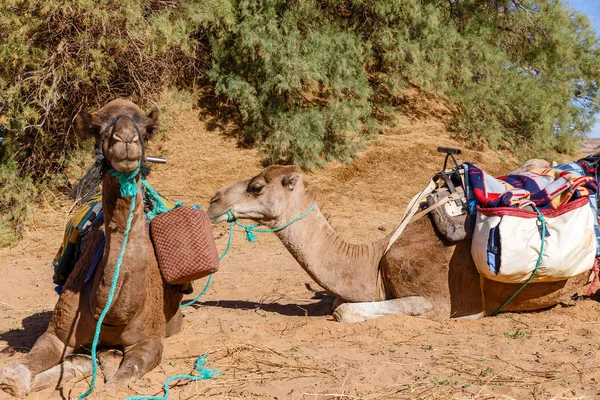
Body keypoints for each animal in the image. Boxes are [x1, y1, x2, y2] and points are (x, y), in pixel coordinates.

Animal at [0, 99, 183, 396]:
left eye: (146, 129)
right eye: (98, 129)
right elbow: (16, 374)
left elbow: (116, 385)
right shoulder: (57, 333)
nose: (126, 140)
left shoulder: (150, 341)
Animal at [206, 164, 592, 324]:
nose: (213, 201)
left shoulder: (440, 301)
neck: (375, 257)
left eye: (257, 187)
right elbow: (338, 301)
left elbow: (344, 310)